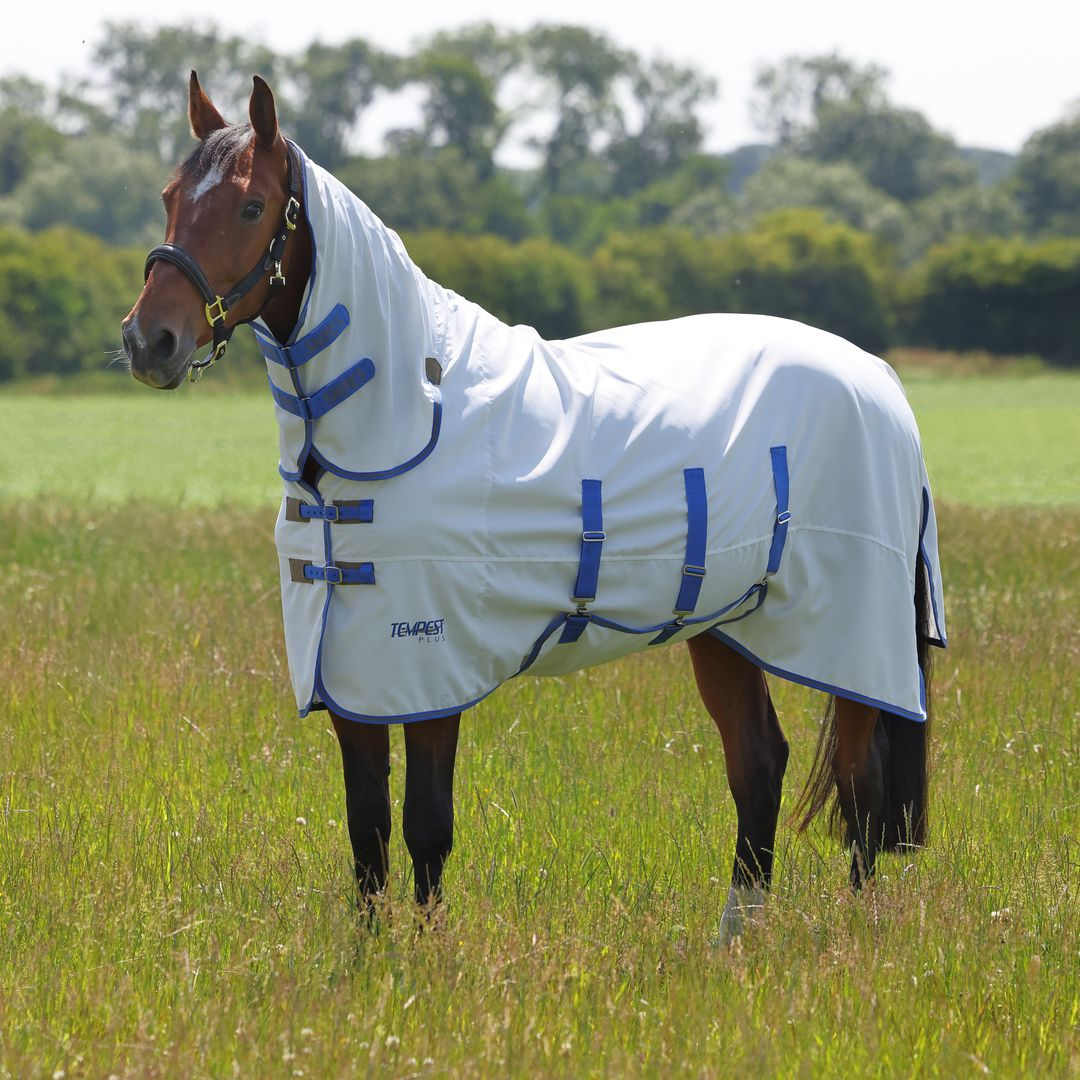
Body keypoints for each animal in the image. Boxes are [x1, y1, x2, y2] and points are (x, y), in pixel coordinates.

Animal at [122, 73, 946, 940]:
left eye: (250, 207)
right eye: (171, 196)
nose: (149, 341)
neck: (406, 414)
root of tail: (879, 378)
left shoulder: (429, 667)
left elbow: (425, 825)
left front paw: (426, 954)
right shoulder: (350, 668)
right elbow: (366, 829)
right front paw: (374, 954)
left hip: (854, 642)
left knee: (858, 786)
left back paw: (848, 939)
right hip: (725, 628)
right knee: (759, 767)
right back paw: (734, 941)